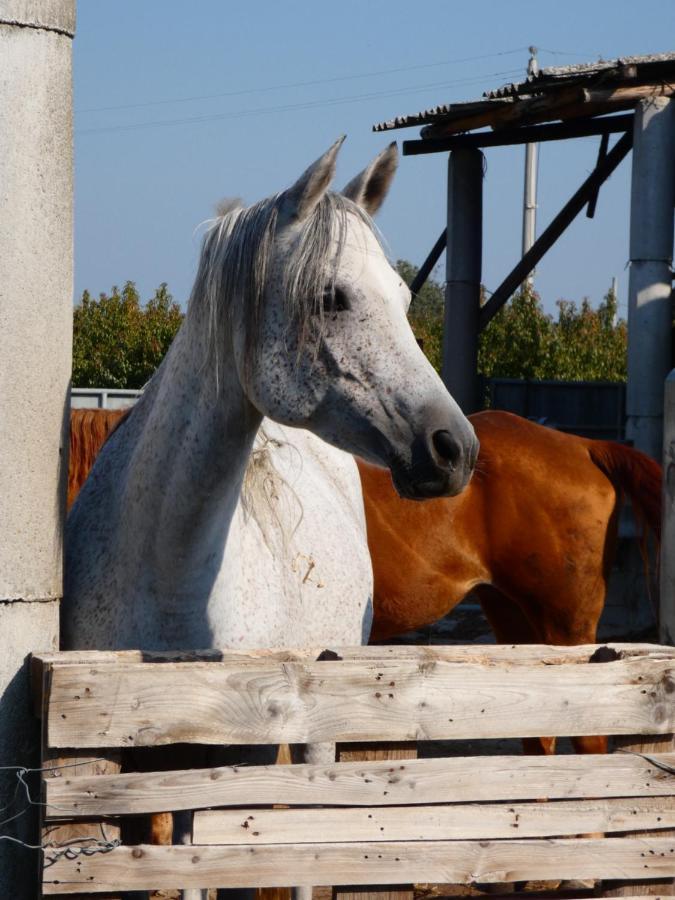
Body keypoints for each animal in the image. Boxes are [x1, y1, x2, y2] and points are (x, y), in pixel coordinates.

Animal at [62, 137, 476, 896]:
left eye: (405, 297)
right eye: (331, 296)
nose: (455, 448)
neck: (170, 574)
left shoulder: (234, 758)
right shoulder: (128, 762)